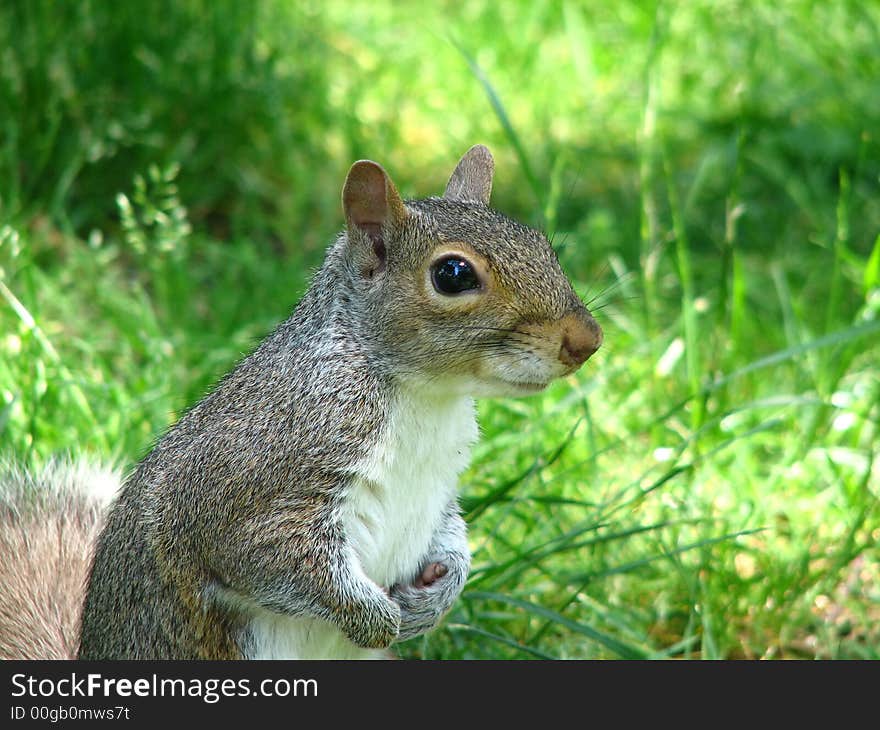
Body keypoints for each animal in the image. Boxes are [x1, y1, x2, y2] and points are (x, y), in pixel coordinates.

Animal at [0, 145, 600, 656]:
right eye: (452, 274)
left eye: (542, 243)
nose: (587, 341)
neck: (424, 396)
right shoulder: (255, 485)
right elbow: (271, 558)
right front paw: (377, 620)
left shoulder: (441, 485)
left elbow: (450, 534)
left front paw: (439, 594)